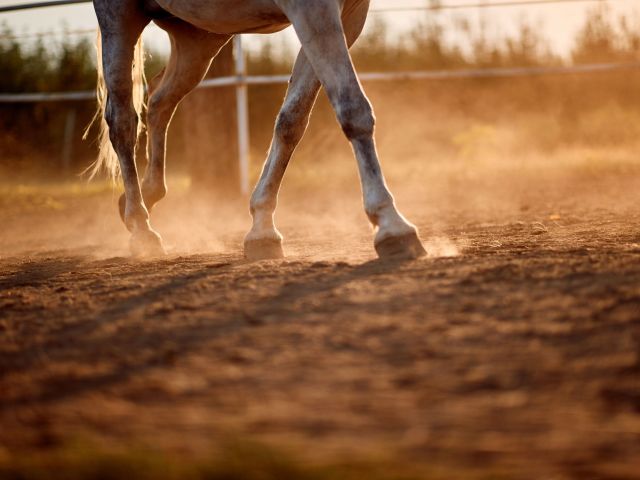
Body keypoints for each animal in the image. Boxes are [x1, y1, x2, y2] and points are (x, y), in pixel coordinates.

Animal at [91, 0, 426, 260]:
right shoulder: (313, 9)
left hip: (199, 36)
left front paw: (262, 229)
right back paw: (141, 228)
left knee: (160, 100)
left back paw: (144, 197)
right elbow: (352, 108)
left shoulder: (348, 15)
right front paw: (392, 225)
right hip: (120, 18)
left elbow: (292, 120)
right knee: (122, 121)